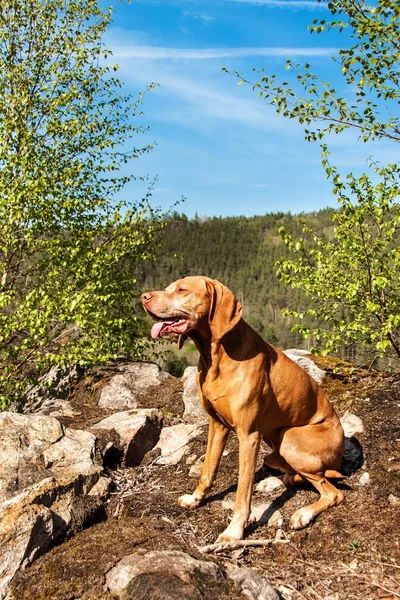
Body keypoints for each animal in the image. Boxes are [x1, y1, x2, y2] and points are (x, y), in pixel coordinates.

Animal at [142, 276, 346, 544]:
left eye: (181, 289)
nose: (144, 297)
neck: (217, 355)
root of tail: (340, 455)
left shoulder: (248, 436)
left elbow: (242, 490)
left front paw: (234, 531)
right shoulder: (217, 425)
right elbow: (208, 469)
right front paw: (195, 498)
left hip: (290, 439)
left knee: (332, 492)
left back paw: (303, 514)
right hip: (274, 444)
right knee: (296, 475)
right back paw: (274, 482)